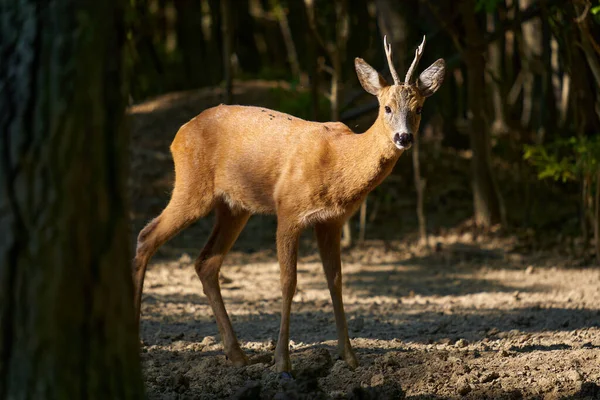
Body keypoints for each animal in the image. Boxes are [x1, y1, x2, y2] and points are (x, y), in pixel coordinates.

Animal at [136, 36, 446, 374]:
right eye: (386, 107)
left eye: (418, 108)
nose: (404, 137)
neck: (339, 162)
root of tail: (178, 135)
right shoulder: (288, 208)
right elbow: (289, 281)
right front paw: (282, 361)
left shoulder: (332, 220)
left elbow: (335, 281)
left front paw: (349, 357)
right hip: (192, 185)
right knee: (146, 236)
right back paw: (138, 340)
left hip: (234, 206)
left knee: (205, 262)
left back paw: (238, 355)